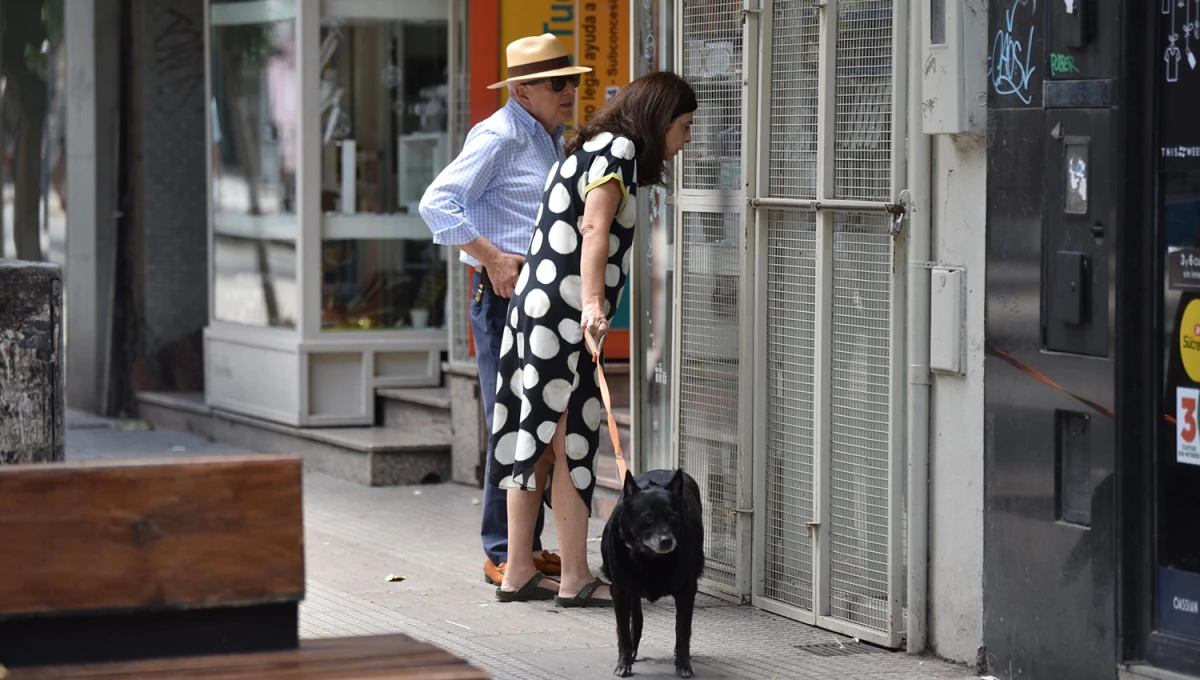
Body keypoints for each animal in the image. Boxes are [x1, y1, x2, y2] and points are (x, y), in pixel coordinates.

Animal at [600, 470, 700, 676]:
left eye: (673, 517)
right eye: (647, 517)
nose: (666, 541)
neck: (650, 558)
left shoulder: (686, 593)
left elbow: (683, 631)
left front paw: (683, 665)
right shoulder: (620, 592)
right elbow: (623, 632)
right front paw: (623, 664)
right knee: (637, 618)